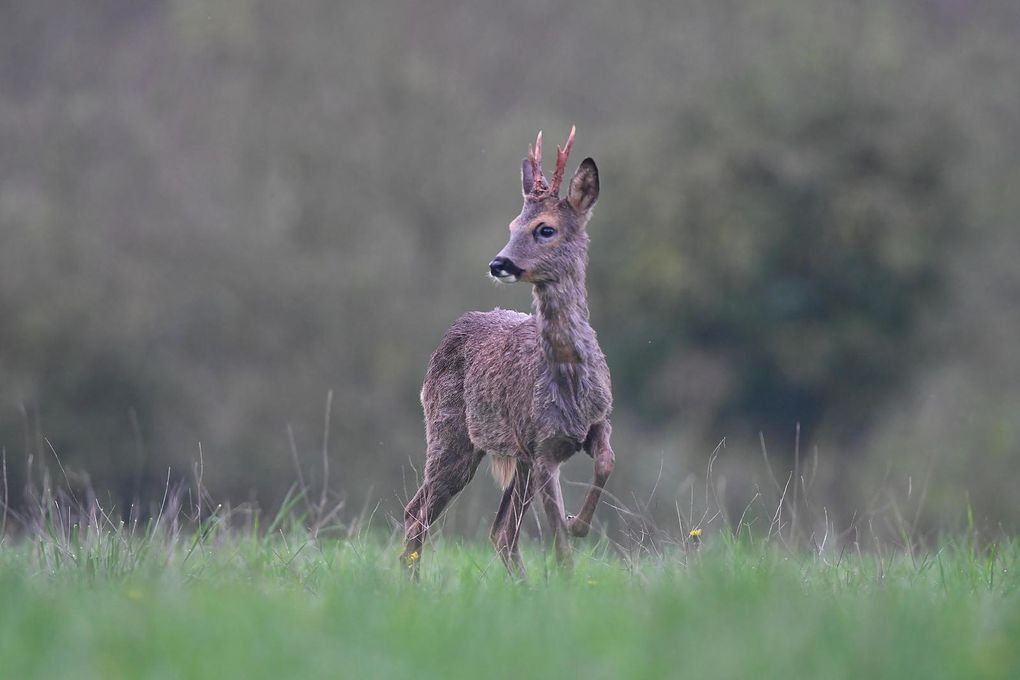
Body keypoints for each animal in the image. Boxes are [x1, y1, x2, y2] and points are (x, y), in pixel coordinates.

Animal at [401, 127, 612, 579]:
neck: (570, 382)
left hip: (515, 457)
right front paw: (571, 555)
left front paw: (580, 524)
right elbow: (558, 539)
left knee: (500, 533)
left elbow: (605, 464)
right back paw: (409, 583)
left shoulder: (597, 421)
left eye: (545, 229)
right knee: (419, 513)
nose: (499, 263)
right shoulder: (543, 445)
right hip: (451, 435)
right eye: (513, 224)